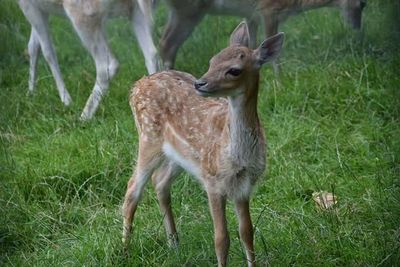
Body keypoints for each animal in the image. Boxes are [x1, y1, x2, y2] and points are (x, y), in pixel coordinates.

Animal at [17, 0, 158, 120]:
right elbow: (33, 46)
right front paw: (31, 93)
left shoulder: (28, 4)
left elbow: (47, 51)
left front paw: (65, 100)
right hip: (135, 10)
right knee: (151, 53)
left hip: (84, 14)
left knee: (107, 65)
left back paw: (83, 117)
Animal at [123, 21, 282, 267]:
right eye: (212, 60)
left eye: (234, 70)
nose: (200, 83)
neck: (236, 155)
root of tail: (137, 85)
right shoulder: (213, 181)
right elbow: (221, 238)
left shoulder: (243, 186)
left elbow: (247, 232)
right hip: (148, 138)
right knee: (132, 189)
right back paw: (125, 250)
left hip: (178, 156)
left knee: (160, 182)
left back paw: (174, 243)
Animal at [159, 0, 366, 69]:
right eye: (363, 4)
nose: (357, 27)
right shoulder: (268, 10)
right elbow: (274, 55)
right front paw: (280, 84)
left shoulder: (251, 15)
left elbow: (252, 46)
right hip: (189, 10)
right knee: (166, 43)